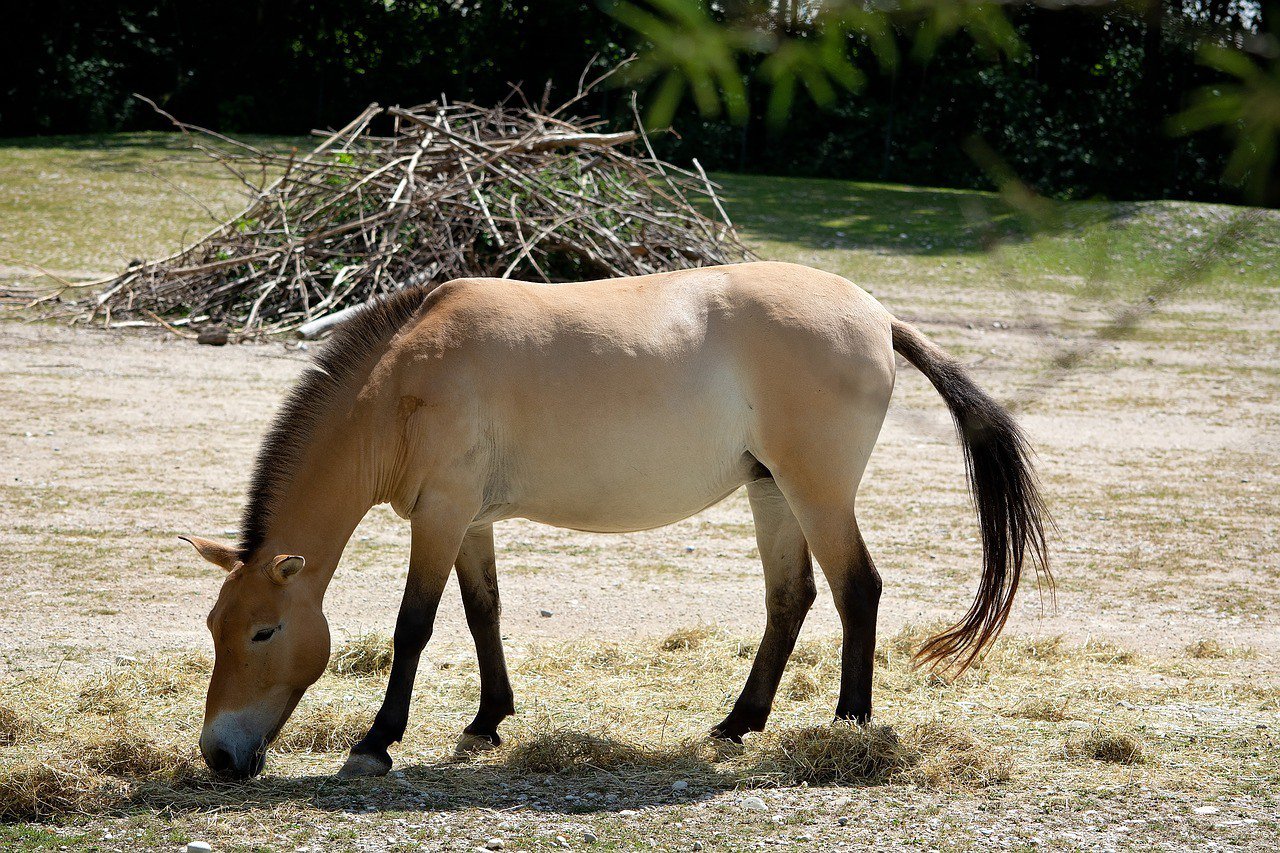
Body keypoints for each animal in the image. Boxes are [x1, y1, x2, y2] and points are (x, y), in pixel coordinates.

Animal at [181, 261, 1049, 779]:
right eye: (214, 626)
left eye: (263, 631)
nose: (220, 754)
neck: (399, 383)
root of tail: (876, 315)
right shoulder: (468, 520)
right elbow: (483, 611)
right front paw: (487, 722)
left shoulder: (442, 514)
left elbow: (414, 625)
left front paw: (375, 742)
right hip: (773, 490)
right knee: (790, 599)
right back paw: (737, 723)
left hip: (818, 491)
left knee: (855, 589)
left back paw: (847, 724)